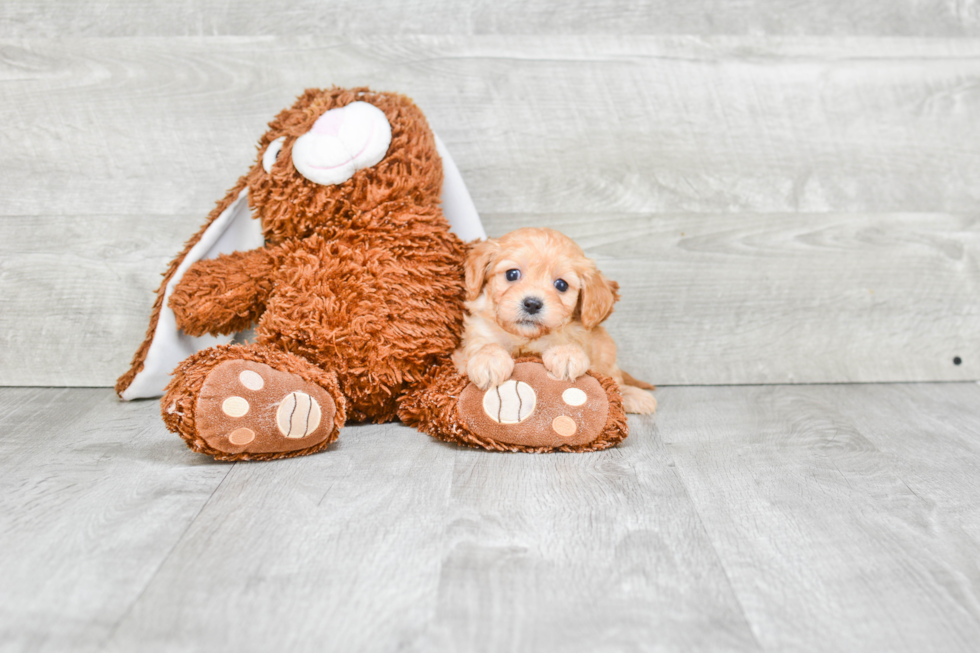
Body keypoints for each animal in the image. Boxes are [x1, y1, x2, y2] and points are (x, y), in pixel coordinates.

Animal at [454, 227, 660, 412]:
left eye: (561, 285)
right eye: (512, 274)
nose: (532, 304)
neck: (525, 338)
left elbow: (570, 343)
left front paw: (566, 355)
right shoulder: (470, 343)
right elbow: (485, 345)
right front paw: (489, 360)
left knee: (615, 379)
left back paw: (633, 396)